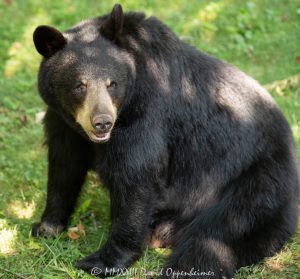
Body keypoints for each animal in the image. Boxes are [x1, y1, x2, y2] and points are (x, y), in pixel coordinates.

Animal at [31, 3, 298, 278]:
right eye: (79, 85)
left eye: (112, 84)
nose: (102, 122)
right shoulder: (62, 121)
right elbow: (64, 166)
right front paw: (47, 226)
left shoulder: (146, 114)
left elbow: (137, 175)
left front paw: (103, 261)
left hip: (256, 182)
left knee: (215, 236)